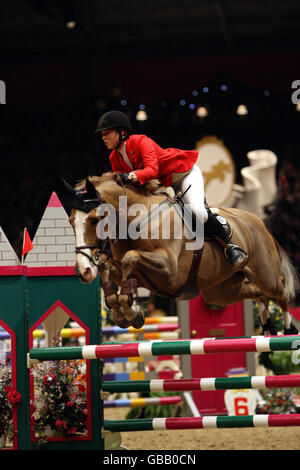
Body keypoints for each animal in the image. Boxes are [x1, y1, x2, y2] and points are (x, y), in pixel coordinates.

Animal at [62, 171, 298, 336]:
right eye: (71, 221)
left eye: (95, 219)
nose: (82, 271)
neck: (135, 218)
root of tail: (259, 221)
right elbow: (109, 267)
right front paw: (123, 309)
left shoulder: (169, 272)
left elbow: (131, 258)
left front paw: (131, 309)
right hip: (221, 292)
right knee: (257, 293)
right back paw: (267, 326)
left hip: (265, 274)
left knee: (281, 291)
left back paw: (288, 330)